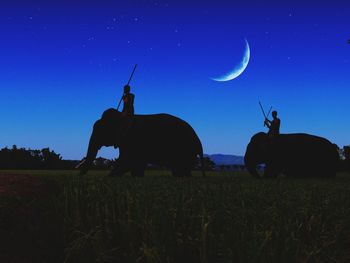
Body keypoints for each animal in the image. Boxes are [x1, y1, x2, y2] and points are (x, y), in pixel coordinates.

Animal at [77, 108, 205, 178]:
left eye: (101, 131)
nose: (80, 174)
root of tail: (198, 140)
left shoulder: (132, 140)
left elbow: (128, 161)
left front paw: (110, 177)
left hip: (185, 148)